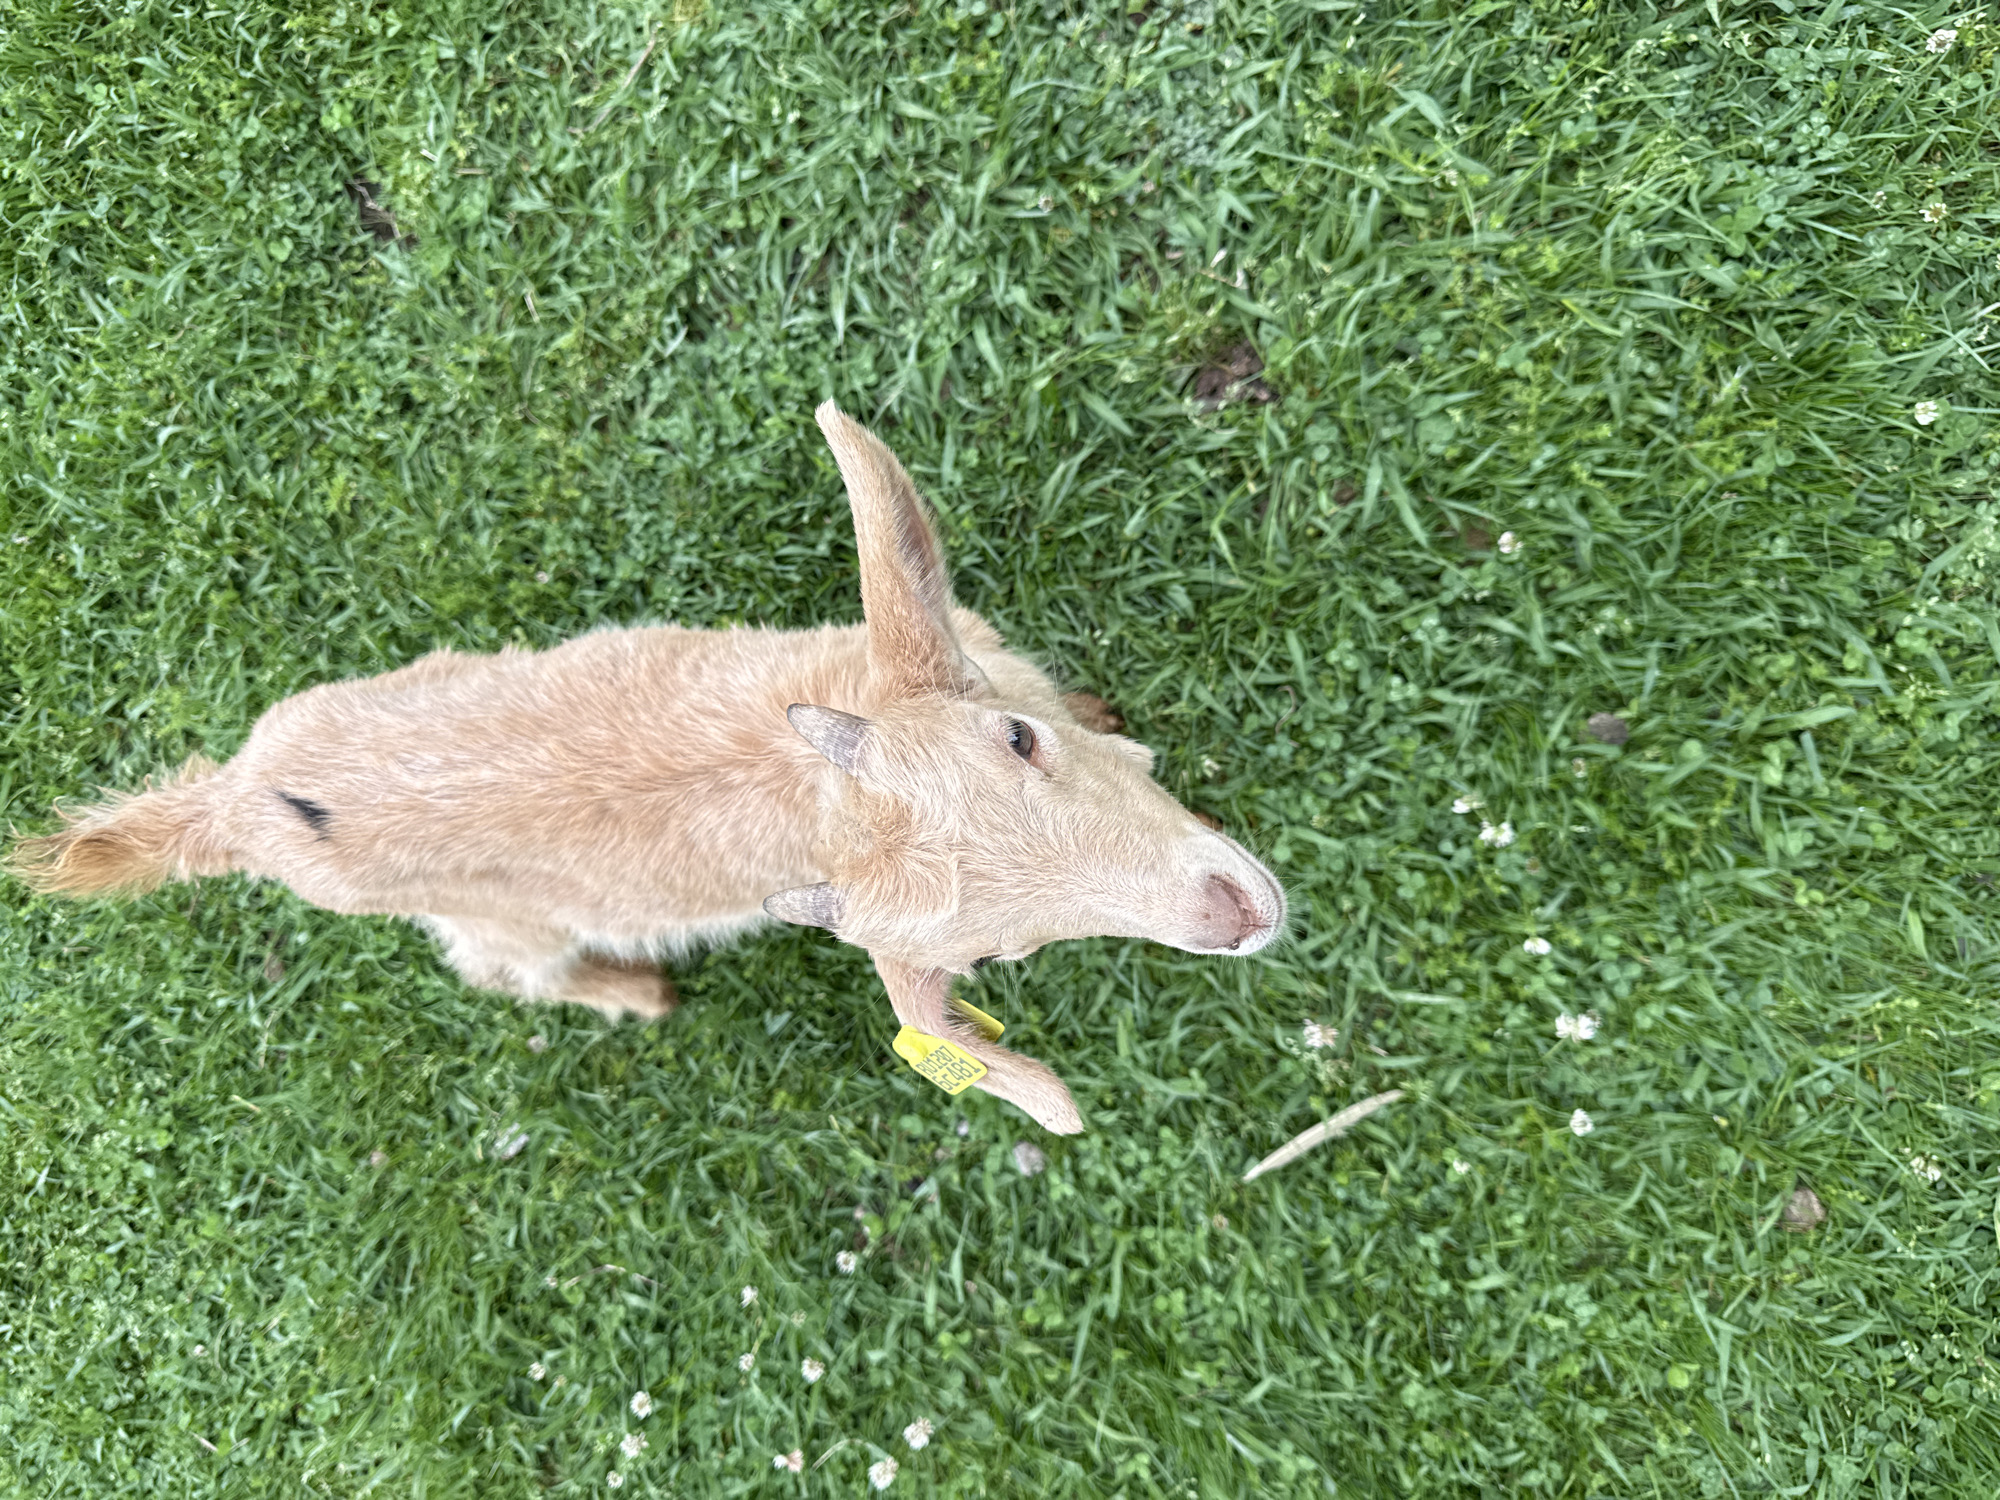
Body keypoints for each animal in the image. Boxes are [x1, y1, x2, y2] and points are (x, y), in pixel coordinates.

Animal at [10, 403, 1285, 1133]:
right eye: (997, 959)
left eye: (1016, 742)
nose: (1231, 913)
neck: (807, 786)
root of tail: (233, 805)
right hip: (479, 922)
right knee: (503, 973)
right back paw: (630, 993)